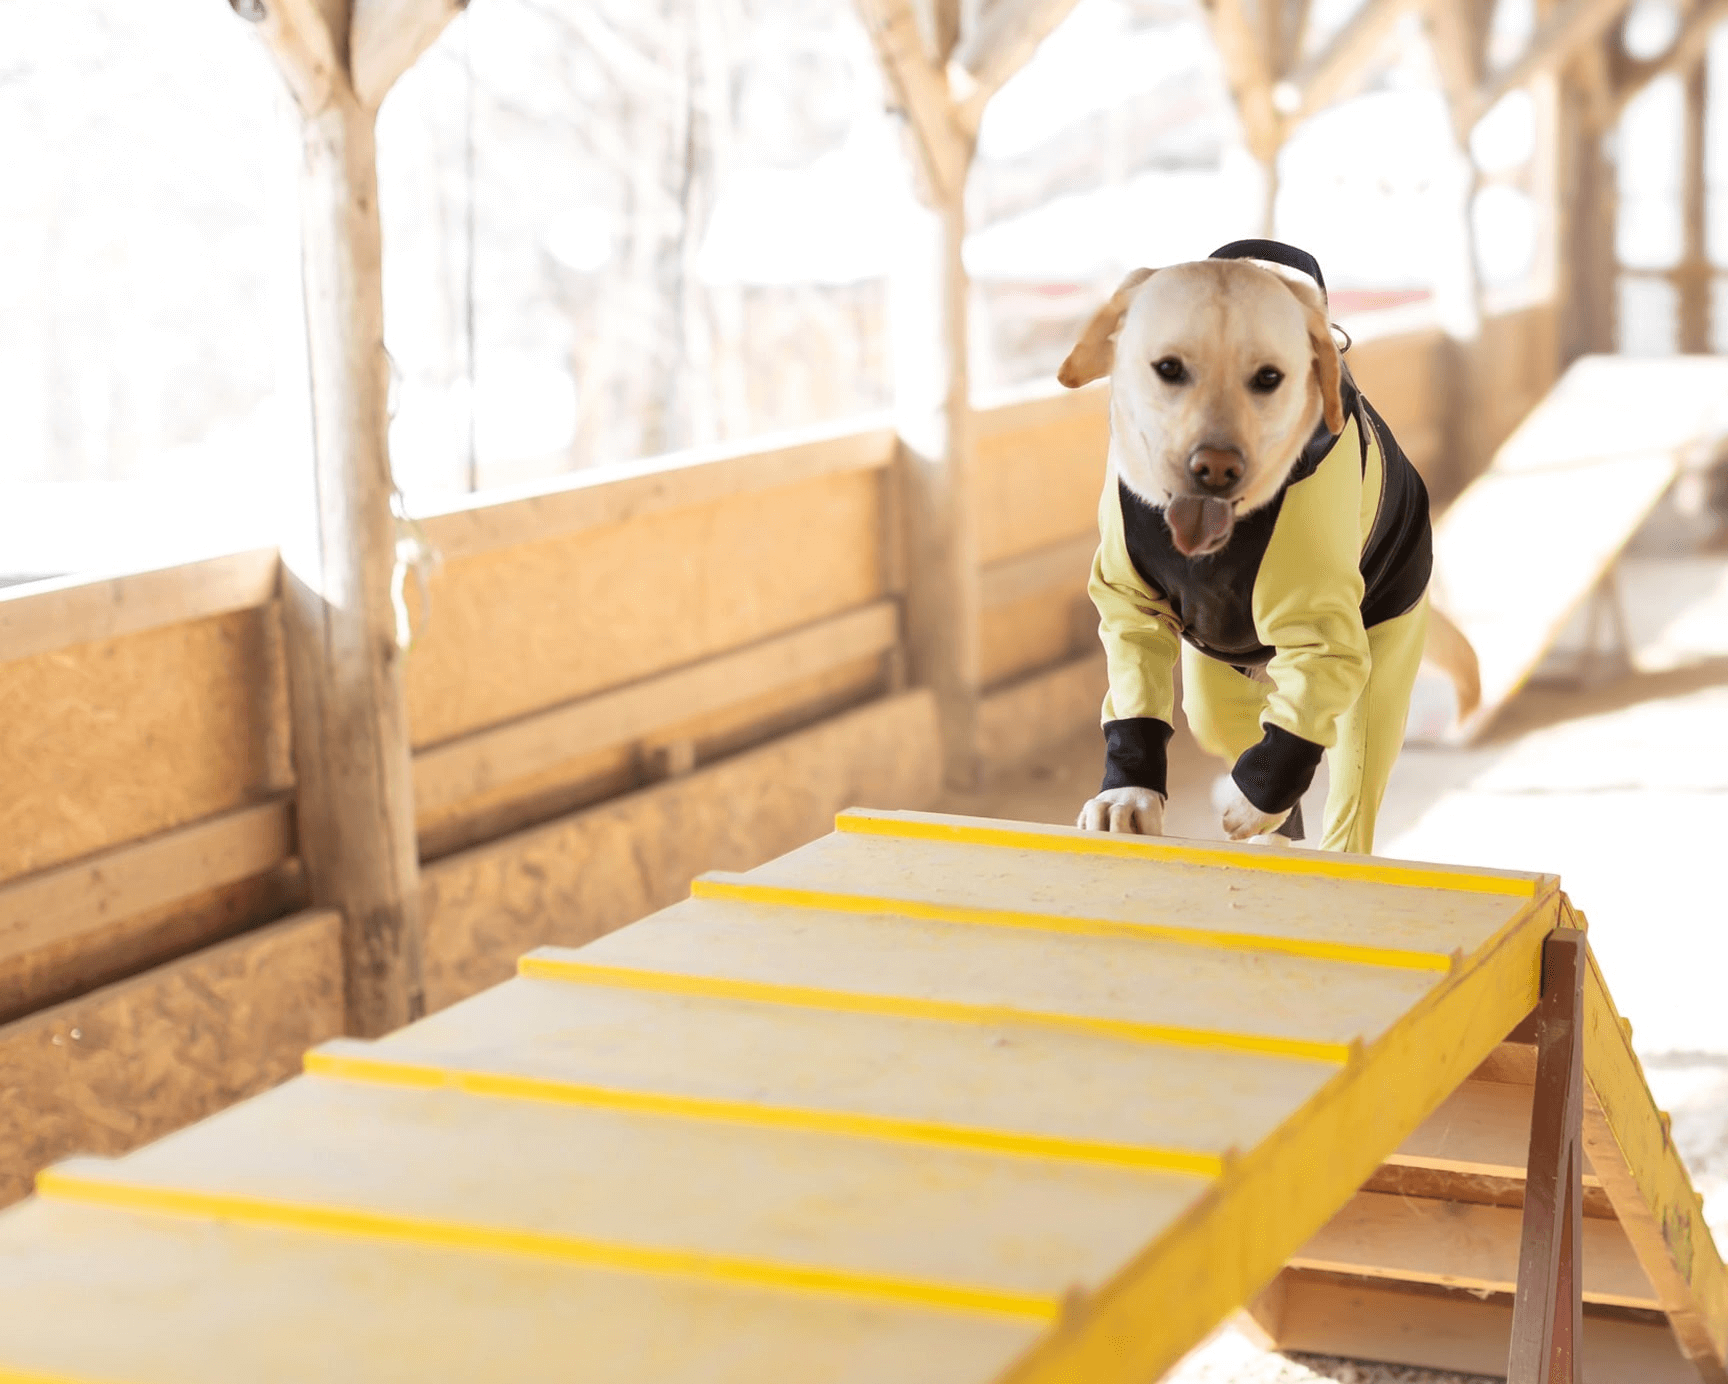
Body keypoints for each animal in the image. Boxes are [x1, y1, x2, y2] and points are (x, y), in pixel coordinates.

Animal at [1057, 240, 1479, 853]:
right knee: (1229, 718)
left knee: (1349, 782)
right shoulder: (1127, 607)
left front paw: (1255, 800)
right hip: (1216, 678)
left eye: (1268, 378)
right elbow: (1136, 692)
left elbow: (1298, 724)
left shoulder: (1328, 638)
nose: (1216, 468)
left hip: (1382, 657)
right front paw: (1127, 796)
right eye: (1169, 369)